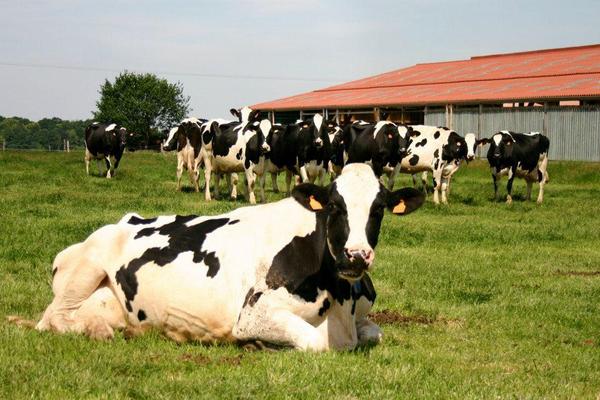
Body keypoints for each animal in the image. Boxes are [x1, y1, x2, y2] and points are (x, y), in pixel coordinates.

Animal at [16, 164, 424, 352]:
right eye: (336, 207)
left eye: (379, 209)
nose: (356, 256)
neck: (340, 299)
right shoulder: (255, 312)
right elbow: (315, 342)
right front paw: (259, 344)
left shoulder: (361, 318)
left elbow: (375, 333)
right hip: (87, 265)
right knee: (52, 318)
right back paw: (98, 332)